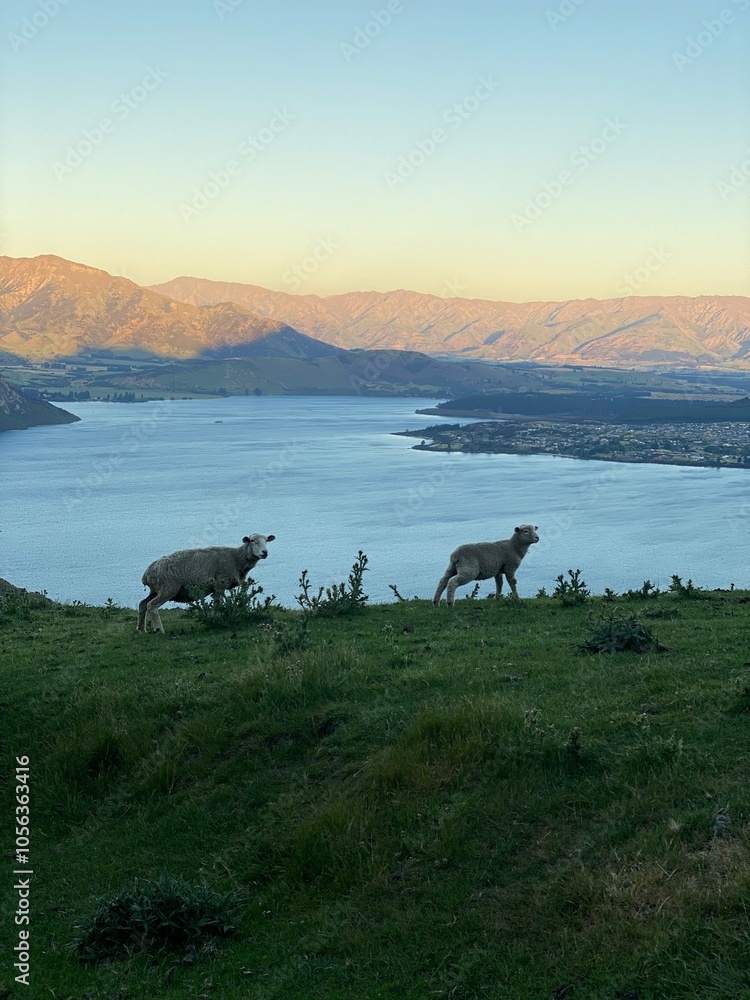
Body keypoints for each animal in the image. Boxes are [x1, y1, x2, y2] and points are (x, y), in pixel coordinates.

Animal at [137, 532, 275, 633]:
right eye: (252, 541)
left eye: (266, 541)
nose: (265, 552)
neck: (236, 558)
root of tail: (147, 574)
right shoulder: (220, 583)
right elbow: (217, 603)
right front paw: (216, 620)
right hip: (168, 588)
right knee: (151, 606)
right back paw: (159, 630)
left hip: (156, 590)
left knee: (142, 604)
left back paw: (141, 629)